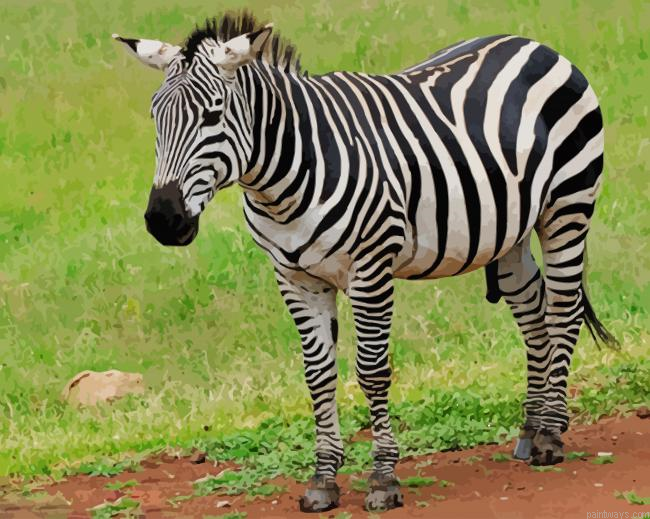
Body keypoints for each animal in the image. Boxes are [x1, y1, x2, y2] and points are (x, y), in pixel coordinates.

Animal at [113, 11, 616, 513]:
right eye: (156, 116)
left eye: (213, 115)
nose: (163, 220)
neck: (285, 177)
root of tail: (533, 44)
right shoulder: (295, 277)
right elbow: (317, 375)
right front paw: (323, 479)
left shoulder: (370, 268)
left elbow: (372, 372)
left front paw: (383, 478)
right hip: (510, 229)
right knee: (532, 312)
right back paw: (533, 427)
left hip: (568, 204)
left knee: (564, 308)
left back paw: (551, 435)